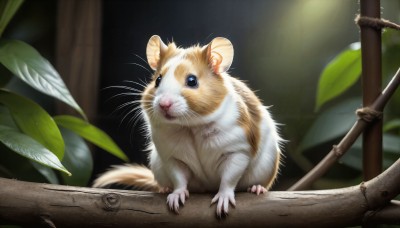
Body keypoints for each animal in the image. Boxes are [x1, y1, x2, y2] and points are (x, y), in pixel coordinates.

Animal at [94, 34, 282, 216]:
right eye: (158, 80)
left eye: (192, 80)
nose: (164, 104)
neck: (191, 126)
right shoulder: (172, 157)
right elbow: (179, 178)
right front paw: (176, 195)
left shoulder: (237, 151)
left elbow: (229, 179)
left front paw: (223, 198)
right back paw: (164, 189)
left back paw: (257, 188)